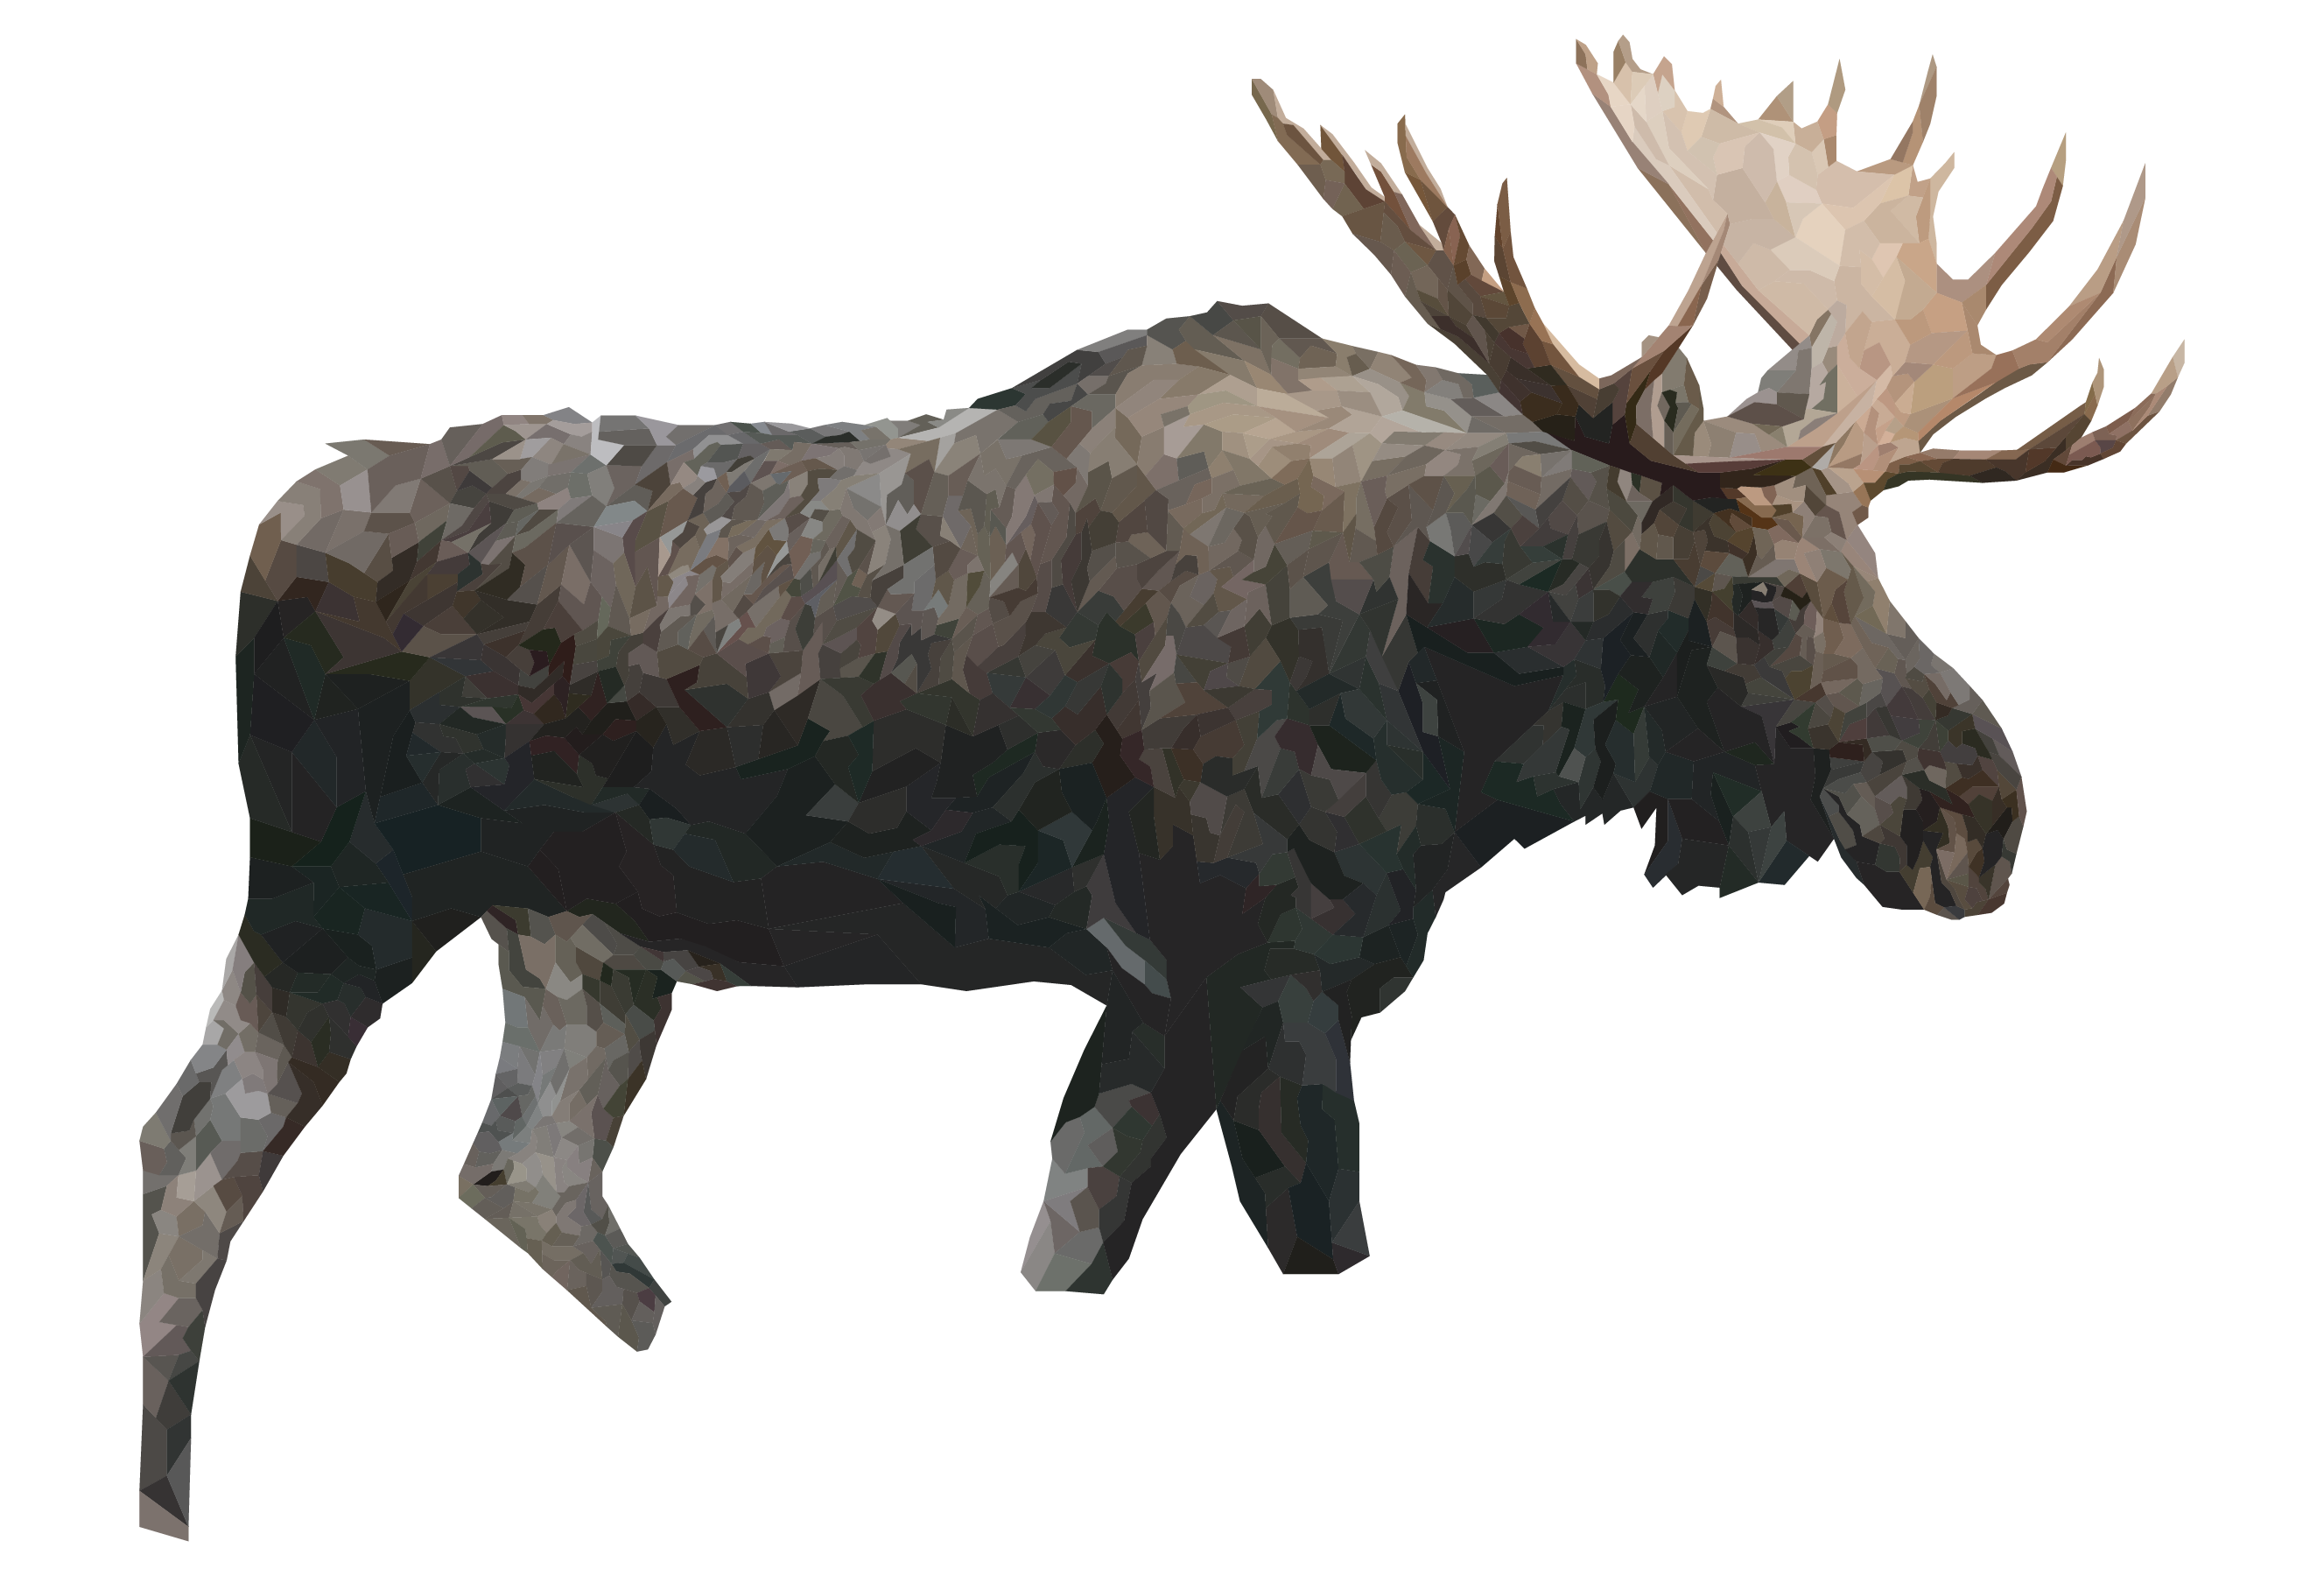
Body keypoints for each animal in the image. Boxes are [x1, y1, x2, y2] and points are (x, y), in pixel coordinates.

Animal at [139, 38, 2180, 1537]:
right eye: (1766, 593)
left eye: (1879, 562)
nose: (1979, 813)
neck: (1468, 705)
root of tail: (261, 528)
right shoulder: (1260, 976)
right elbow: (1307, 1252)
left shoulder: (1161, 998)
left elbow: (1064, 1247)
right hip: (333, 891)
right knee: (198, 1150)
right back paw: (167, 1502)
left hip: (584, 945)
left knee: (526, 1173)